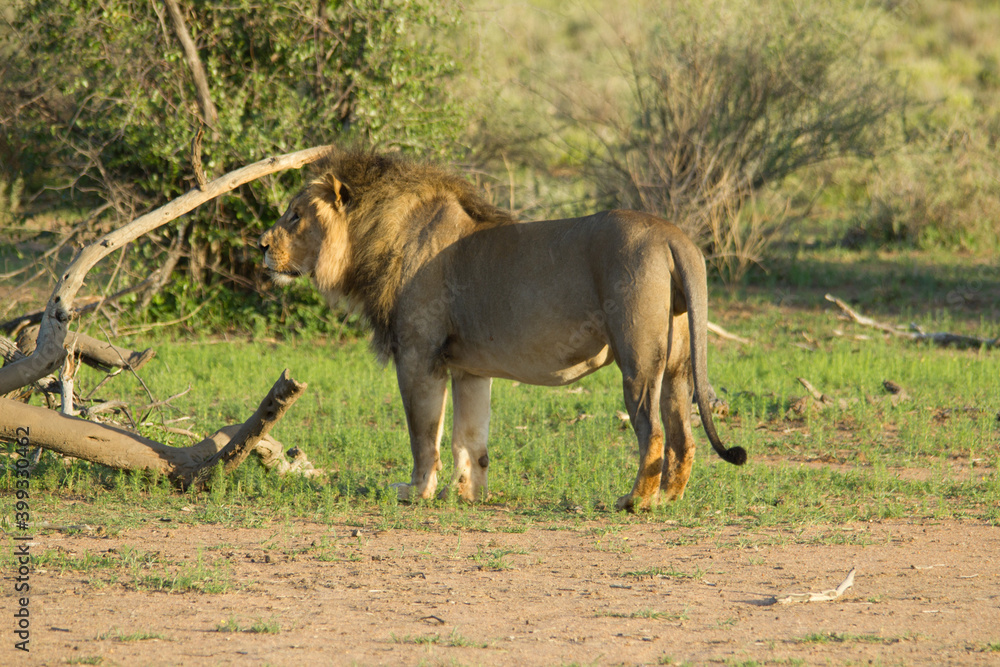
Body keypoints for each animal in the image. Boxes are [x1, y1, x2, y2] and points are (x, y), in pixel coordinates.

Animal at [258, 148, 746, 511]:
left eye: (295, 216)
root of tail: (673, 236)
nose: (261, 245)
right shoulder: (469, 369)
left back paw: (635, 501)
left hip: (638, 357)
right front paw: (467, 494)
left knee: (654, 431)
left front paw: (416, 492)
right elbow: (470, 438)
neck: (372, 237)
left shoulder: (418, 356)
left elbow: (424, 435)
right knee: (683, 435)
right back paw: (668, 498)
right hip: (678, 364)